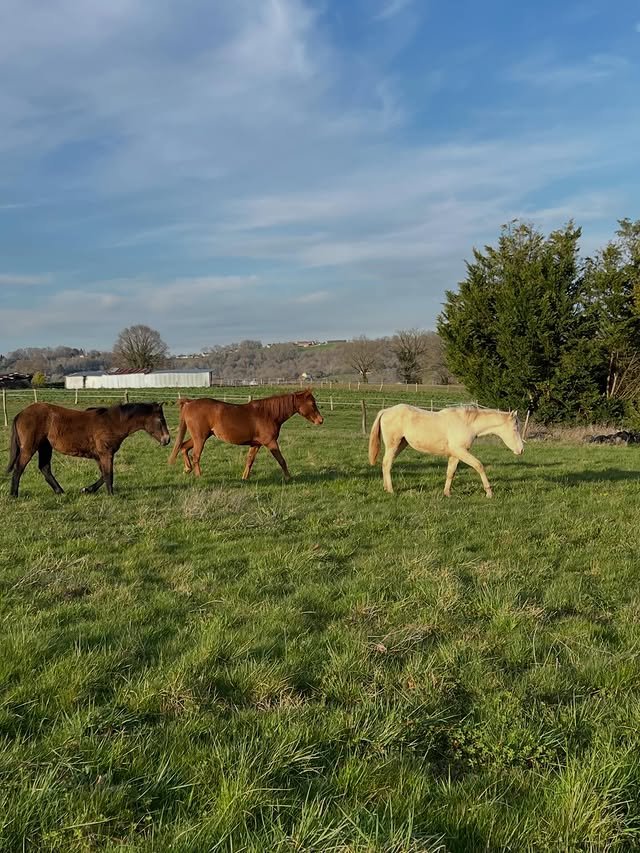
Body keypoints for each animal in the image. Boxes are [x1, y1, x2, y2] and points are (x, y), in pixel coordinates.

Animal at [7, 402, 170, 497]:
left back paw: (60, 492)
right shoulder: (106, 453)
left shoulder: (100, 456)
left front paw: (87, 489)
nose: (167, 439)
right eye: (161, 420)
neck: (112, 423)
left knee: (44, 468)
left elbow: (103, 475)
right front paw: (111, 495)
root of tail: (21, 413)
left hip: (45, 447)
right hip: (30, 447)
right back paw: (13, 495)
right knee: (19, 467)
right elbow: (109, 474)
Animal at [168, 389, 323, 480]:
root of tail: (189, 403)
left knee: (183, 447)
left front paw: (244, 478)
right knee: (195, 456)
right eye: (312, 403)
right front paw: (289, 478)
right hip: (200, 438)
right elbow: (281, 460)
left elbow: (249, 461)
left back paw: (187, 469)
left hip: (200, 437)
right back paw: (198, 475)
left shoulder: (256, 444)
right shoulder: (271, 443)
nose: (321, 420)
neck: (268, 414)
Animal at [368, 403, 523, 497]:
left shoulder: (455, 454)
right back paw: (391, 490)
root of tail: (385, 411)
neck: (467, 423)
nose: (521, 450)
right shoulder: (461, 451)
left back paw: (386, 488)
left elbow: (451, 473)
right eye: (515, 428)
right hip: (393, 445)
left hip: (400, 445)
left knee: (386, 465)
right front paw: (489, 493)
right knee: (387, 464)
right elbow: (479, 465)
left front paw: (447, 493)